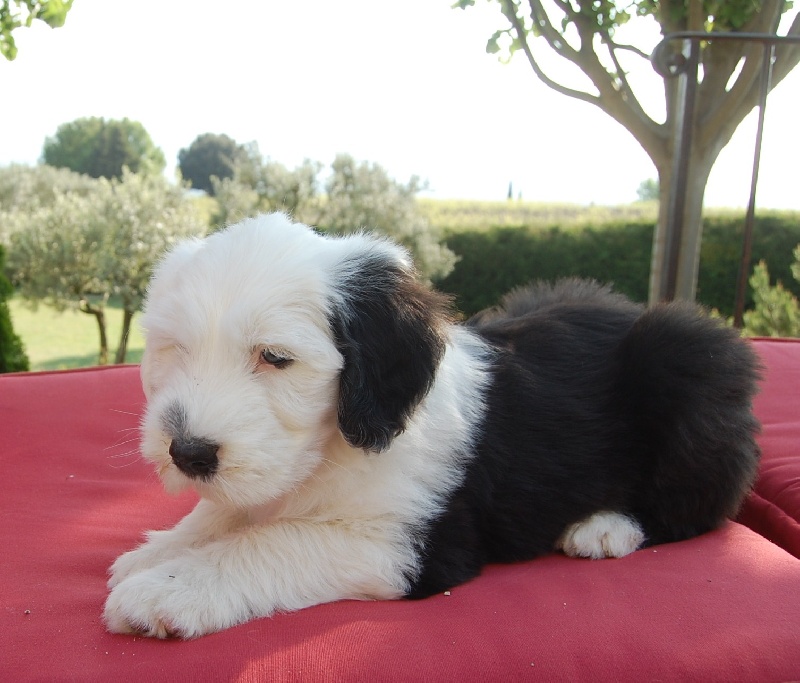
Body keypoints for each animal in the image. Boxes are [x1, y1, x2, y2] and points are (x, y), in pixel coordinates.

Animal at [104, 212, 761, 638]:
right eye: (177, 349)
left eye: (275, 357)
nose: (188, 453)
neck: (333, 450)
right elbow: (224, 514)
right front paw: (158, 551)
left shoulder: (414, 541)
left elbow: (270, 542)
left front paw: (167, 588)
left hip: (689, 370)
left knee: (701, 506)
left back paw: (605, 527)